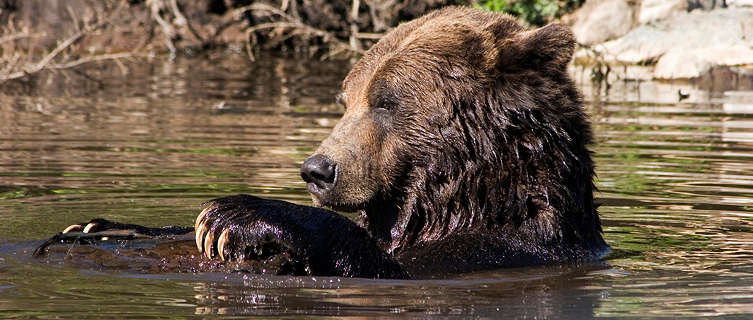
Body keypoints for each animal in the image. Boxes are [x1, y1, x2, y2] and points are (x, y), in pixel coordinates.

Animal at [54, 6, 604, 278]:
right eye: (346, 98)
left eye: (386, 101)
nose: (317, 170)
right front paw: (103, 225)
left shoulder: (504, 247)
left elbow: (386, 265)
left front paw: (238, 214)